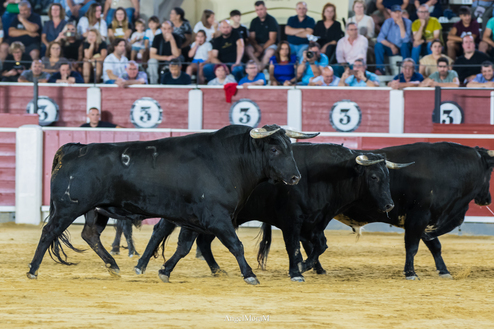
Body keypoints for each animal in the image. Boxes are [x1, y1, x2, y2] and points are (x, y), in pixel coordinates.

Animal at [28, 124, 320, 284]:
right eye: (274, 149)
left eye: (290, 147)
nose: (295, 177)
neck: (229, 159)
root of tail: (75, 148)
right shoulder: (217, 217)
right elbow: (235, 244)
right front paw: (249, 274)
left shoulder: (194, 220)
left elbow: (183, 248)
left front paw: (164, 271)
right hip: (68, 208)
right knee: (48, 232)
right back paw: (33, 270)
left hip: (95, 210)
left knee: (90, 235)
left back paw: (113, 266)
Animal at [133, 142, 412, 280]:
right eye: (374, 176)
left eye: (388, 176)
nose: (389, 205)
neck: (321, 175)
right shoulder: (292, 221)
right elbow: (294, 247)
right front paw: (297, 271)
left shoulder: (314, 222)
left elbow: (319, 246)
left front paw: (307, 267)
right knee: (161, 230)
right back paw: (141, 264)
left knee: (201, 242)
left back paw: (215, 270)